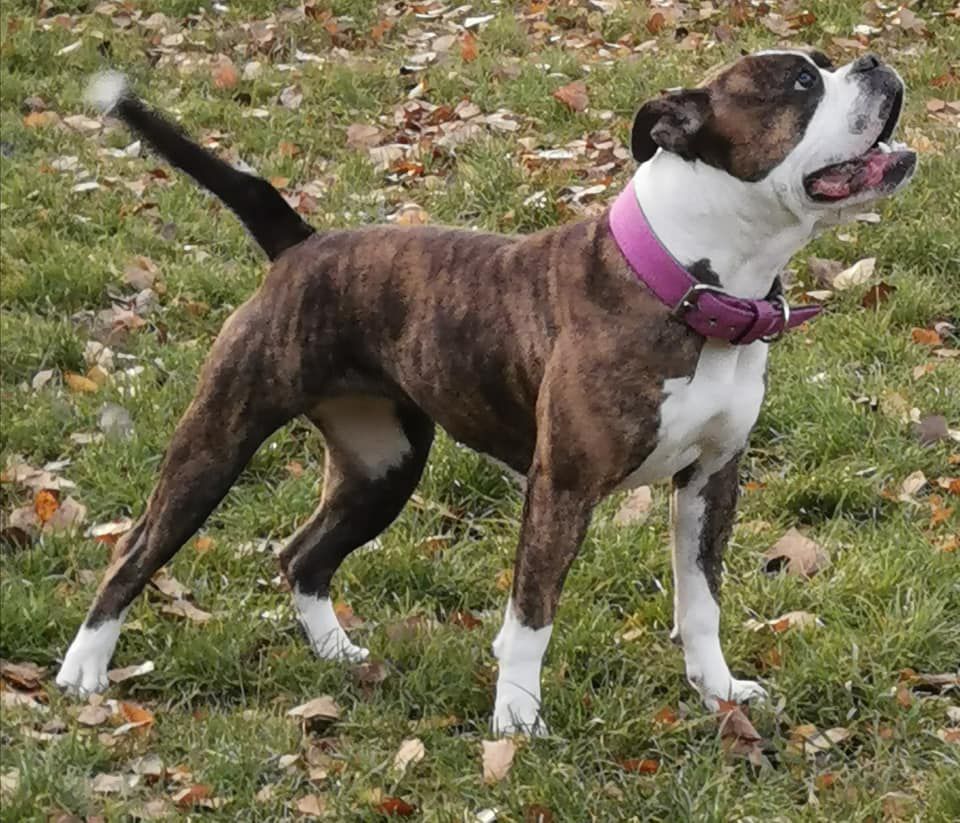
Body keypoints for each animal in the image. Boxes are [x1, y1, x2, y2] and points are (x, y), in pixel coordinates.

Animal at [58, 48, 916, 736]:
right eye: (802, 82)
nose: (873, 59)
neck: (684, 282)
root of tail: (300, 242)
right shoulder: (562, 487)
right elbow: (530, 616)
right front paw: (517, 722)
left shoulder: (712, 479)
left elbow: (701, 604)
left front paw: (720, 693)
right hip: (219, 439)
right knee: (137, 547)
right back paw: (85, 671)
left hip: (382, 468)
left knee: (302, 555)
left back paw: (337, 653)